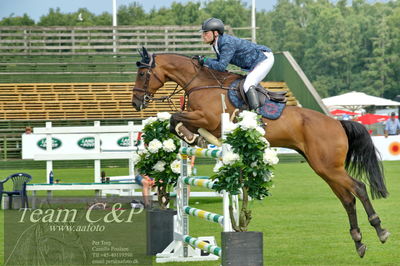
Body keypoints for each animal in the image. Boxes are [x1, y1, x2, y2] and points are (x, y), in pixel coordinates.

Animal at [131, 46, 388, 256]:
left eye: (143, 74)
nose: (136, 103)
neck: (200, 83)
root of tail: (337, 122)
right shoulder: (199, 118)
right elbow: (176, 121)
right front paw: (194, 137)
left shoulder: (207, 117)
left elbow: (175, 118)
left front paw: (192, 136)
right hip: (324, 168)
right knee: (347, 199)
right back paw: (359, 242)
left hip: (329, 167)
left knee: (359, 188)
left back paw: (380, 229)